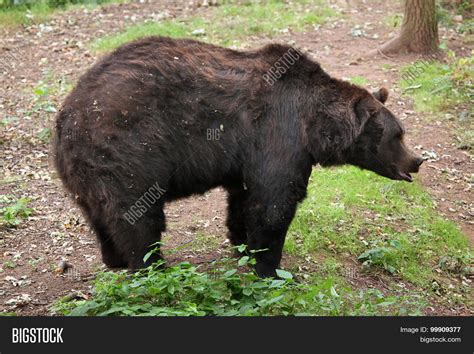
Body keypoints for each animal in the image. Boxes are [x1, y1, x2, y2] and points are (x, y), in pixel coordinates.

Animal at [53, 37, 424, 278]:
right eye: (399, 134)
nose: (417, 161)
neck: (313, 126)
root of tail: (68, 114)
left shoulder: (244, 156)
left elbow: (244, 199)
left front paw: (242, 245)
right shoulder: (278, 134)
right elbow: (273, 203)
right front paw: (270, 267)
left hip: (86, 170)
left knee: (98, 214)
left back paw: (113, 258)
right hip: (129, 150)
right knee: (139, 217)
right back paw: (151, 265)